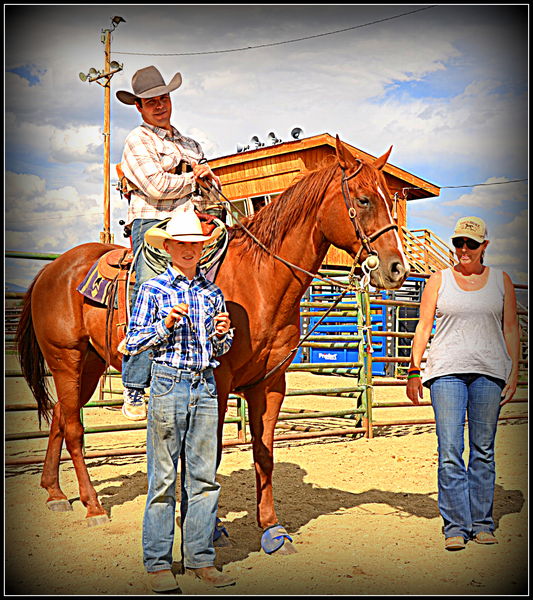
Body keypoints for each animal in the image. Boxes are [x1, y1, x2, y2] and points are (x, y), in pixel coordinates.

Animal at [16, 138, 408, 552]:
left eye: (391, 199)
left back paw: (55, 494)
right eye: (364, 199)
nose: (397, 268)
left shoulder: (271, 383)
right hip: (66, 360)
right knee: (74, 428)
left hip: (88, 365)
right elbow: (209, 454)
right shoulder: (216, 385)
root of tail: (50, 270)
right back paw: (92, 506)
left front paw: (271, 528)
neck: (259, 278)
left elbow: (263, 453)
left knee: (61, 417)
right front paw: (209, 527)